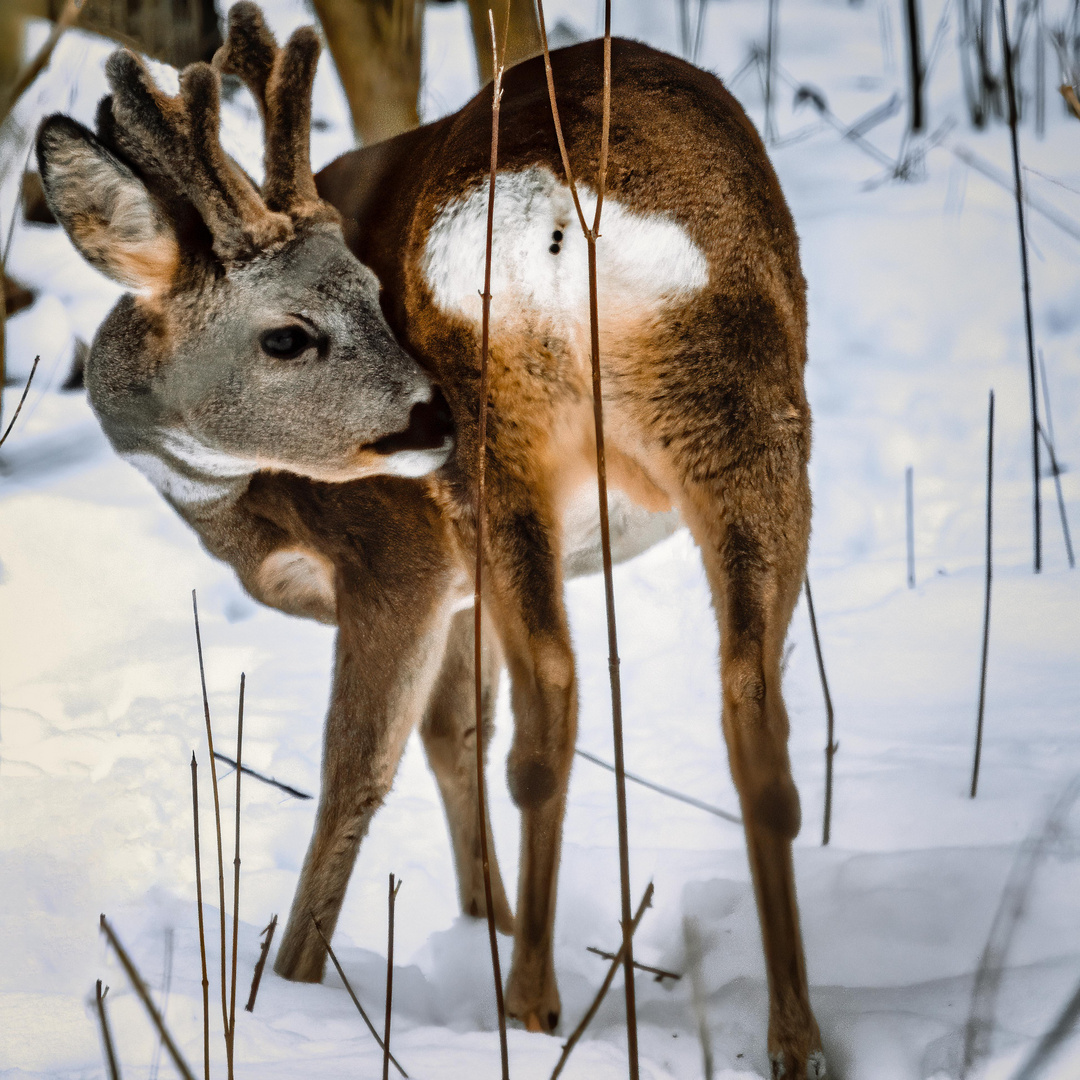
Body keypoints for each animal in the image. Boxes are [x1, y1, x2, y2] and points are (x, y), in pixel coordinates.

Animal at [38, 6, 820, 1071]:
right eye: (290, 335)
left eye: (373, 295)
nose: (423, 415)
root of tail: (558, 213)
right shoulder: (460, 590)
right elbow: (455, 736)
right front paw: (483, 917)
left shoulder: (399, 563)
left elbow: (359, 771)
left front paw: (295, 983)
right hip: (731, 412)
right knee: (744, 704)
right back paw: (787, 1035)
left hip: (518, 455)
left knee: (554, 700)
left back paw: (528, 1007)